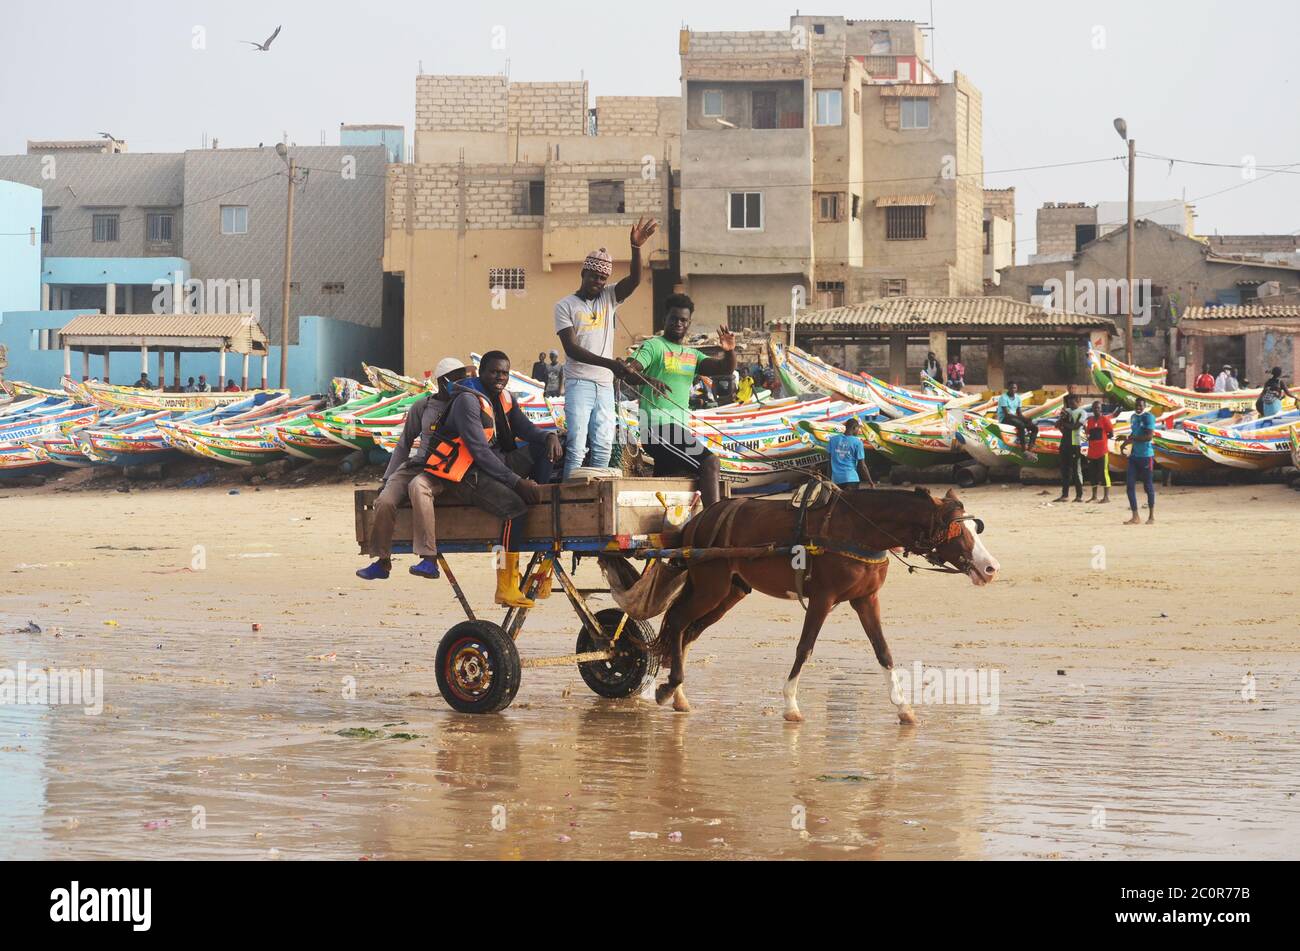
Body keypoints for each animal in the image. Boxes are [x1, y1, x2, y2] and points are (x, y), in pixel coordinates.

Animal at [655, 485, 998, 722]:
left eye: (975, 528)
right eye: (957, 530)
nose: (990, 567)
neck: (860, 530)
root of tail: (700, 518)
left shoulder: (866, 598)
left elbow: (883, 651)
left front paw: (903, 708)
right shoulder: (823, 598)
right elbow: (805, 647)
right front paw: (790, 704)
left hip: (730, 592)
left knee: (688, 632)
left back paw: (679, 694)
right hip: (710, 587)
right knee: (679, 622)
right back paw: (671, 686)